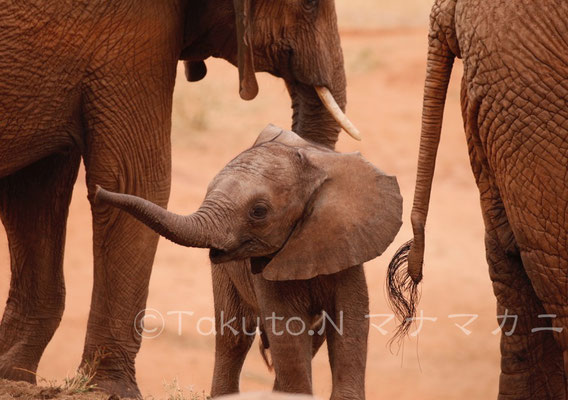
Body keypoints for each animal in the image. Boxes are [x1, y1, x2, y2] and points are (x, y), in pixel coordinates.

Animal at [0, 0, 356, 396]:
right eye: (308, 6)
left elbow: (33, 193)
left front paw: (13, 375)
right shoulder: (135, 34)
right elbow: (138, 179)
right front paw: (112, 390)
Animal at [94, 124, 404, 396]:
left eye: (259, 211)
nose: (97, 191)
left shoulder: (347, 246)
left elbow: (348, 326)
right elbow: (288, 334)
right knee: (234, 337)